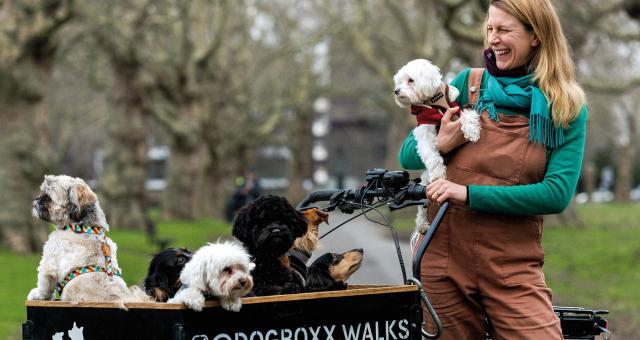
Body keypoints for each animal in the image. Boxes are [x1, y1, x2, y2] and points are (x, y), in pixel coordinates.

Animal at [27, 175, 150, 306]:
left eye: (48, 197)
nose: (37, 199)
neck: (80, 227)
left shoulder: (49, 262)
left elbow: (44, 284)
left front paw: (38, 295)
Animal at [396, 59, 480, 244]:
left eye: (410, 80)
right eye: (399, 81)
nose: (396, 91)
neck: (434, 103)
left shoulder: (455, 109)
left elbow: (467, 114)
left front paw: (471, 131)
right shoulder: (424, 132)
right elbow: (431, 155)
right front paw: (438, 173)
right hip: (424, 186)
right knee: (422, 206)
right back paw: (422, 224)